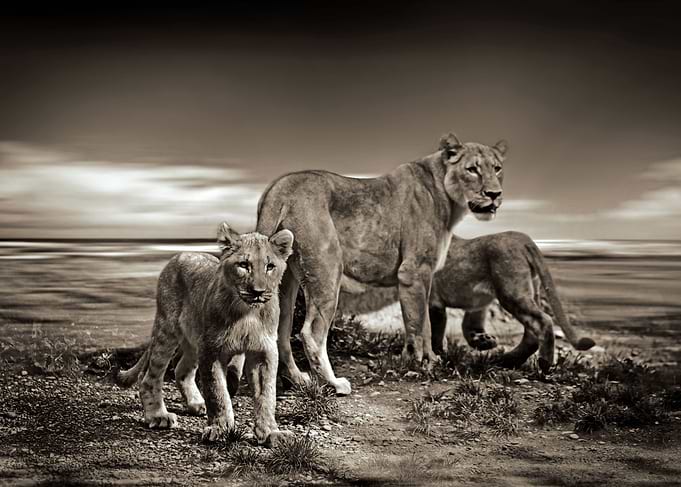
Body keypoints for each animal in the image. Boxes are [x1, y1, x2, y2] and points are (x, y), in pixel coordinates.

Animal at [116, 222, 295, 446]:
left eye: (270, 266)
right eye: (244, 265)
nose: (258, 291)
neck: (247, 312)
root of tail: (182, 253)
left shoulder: (264, 351)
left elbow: (267, 395)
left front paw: (271, 432)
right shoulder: (212, 350)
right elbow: (217, 392)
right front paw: (221, 429)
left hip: (194, 340)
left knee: (181, 370)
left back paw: (196, 404)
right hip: (167, 330)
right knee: (150, 377)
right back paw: (158, 416)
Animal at [255, 133, 507, 394]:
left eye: (497, 168)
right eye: (472, 170)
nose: (494, 194)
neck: (447, 198)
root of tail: (278, 189)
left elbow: (421, 323)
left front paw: (421, 359)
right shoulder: (414, 271)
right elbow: (421, 324)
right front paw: (424, 364)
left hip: (287, 281)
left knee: (281, 331)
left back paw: (297, 379)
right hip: (327, 269)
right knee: (311, 333)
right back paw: (334, 383)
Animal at [428, 231, 596, 372]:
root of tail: (522, 238)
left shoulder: (434, 301)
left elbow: (435, 332)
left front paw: (439, 355)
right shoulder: (476, 302)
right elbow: (468, 325)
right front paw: (483, 341)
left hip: (511, 293)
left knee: (543, 321)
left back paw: (543, 363)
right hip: (530, 292)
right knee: (531, 333)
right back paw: (506, 360)